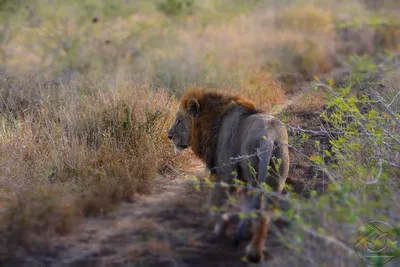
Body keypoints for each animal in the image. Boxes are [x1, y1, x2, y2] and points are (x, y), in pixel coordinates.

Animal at [167, 88, 290, 264]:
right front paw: (245, 232)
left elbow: (217, 203)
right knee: (264, 214)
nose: (169, 136)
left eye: (179, 121)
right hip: (275, 180)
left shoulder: (226, 174)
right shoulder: (242, 178)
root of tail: (269, 137)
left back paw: (252, 253)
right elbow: (245, 207)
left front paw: (215, 230)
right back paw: (254, 250)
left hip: (253, 176)